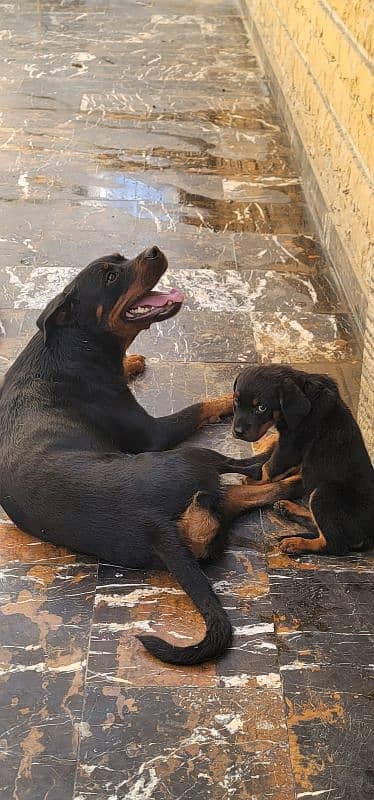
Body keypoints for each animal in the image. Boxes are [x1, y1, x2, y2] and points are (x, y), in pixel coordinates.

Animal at [0, 248, 298, 664]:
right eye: (110, 277)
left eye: (120, 258)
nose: (154, 251)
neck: (71, 346)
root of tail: (152, 525)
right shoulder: (154, 433)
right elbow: (201, 405)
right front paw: (232, 399)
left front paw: (133, 361)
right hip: (193, 457)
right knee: (250, 474)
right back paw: (283, 464)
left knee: (236, 496)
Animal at [232, 364, 372, 556]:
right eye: (236, 401)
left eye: (261, 407)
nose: (237, 432)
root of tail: (369, 537)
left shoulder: (291, 443)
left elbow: (271, 466)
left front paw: (254, 480)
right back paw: (289, 509)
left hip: (324, 493)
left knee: (334, 544)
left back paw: (296, 543)